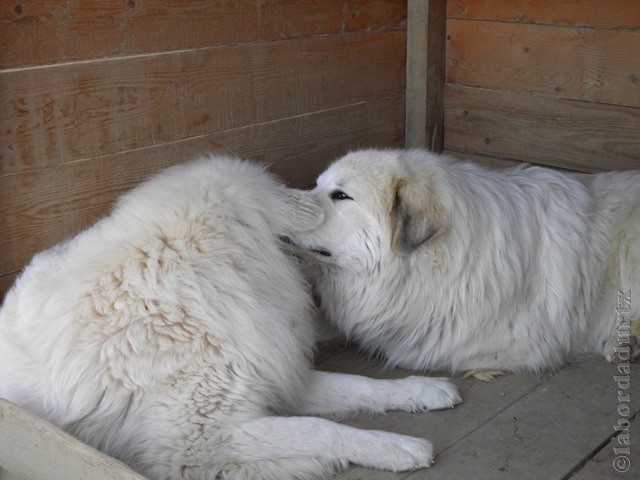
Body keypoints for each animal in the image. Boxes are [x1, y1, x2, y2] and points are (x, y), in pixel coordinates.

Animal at [0, 155, 462, 480]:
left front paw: (423, 389)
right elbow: (319, 429)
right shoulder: (203, 438)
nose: (314, 198)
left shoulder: (276, 374)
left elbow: (362, 386)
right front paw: (396, 447)